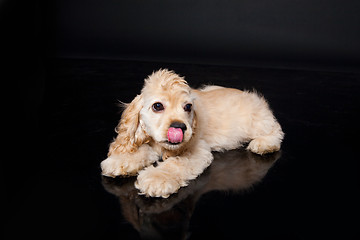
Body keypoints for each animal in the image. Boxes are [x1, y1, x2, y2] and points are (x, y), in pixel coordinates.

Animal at [101, 68, 284, 198]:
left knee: (276, 130)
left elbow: (176, 164)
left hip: (256, 122)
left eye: (188, 107)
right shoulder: (152, 142)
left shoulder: (198, 150)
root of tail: (256, 98)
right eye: (157, 106)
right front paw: (121, 161)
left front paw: (156, 178)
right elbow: (143, 149)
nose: (179, 127)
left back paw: (264, 144)